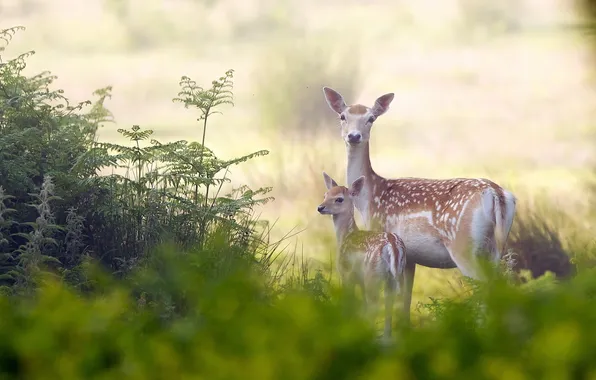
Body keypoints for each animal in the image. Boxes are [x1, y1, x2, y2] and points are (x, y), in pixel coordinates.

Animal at [318, 172, 408, 338]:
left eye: (339, 198)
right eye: (325, 195)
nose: (320, 207)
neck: (346, 236)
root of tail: (393, 245)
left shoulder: (346, 272)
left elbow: (350, 301)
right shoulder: (359, 278)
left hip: (372, 274)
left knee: (374, 304)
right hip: (396, 275)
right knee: (393, 302)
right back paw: (387, 335)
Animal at [322, 87, 516, 324]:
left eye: (371, 118)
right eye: (343, 116)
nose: (354, 136)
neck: (369, 198)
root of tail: (496, 194)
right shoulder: (410, 257)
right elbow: (405, 301)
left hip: (463, 245)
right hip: (496, 248)